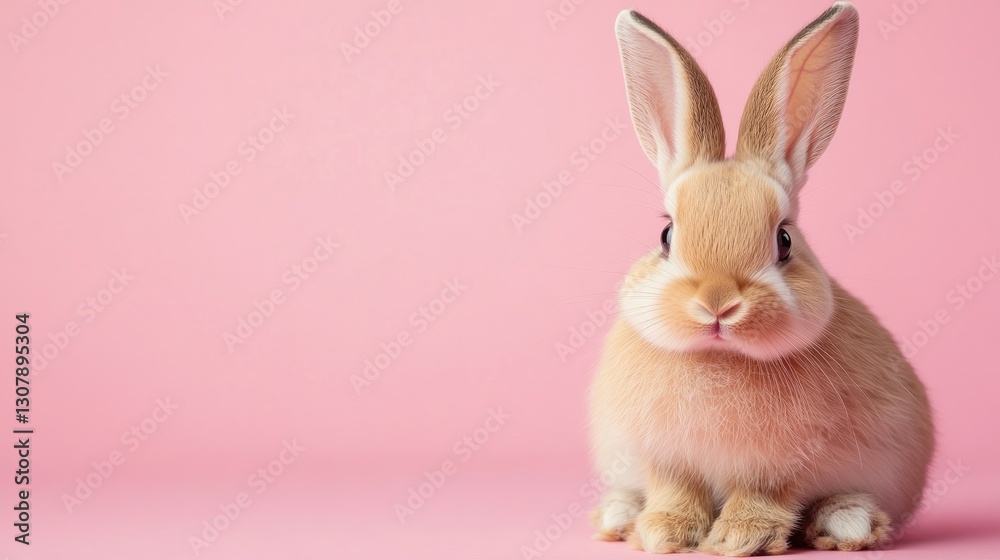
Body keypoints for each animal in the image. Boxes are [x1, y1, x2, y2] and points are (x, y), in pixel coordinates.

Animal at [588, 3, 934, 556]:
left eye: (784, 240)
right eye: (666, 235)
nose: (717, 303)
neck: (719, 358)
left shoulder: (782, 466)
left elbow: (765, 495)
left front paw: (739, 538)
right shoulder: (665, 458)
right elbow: (675, 490)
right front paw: (664, 532)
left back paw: (848, 522)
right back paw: (619, 515)